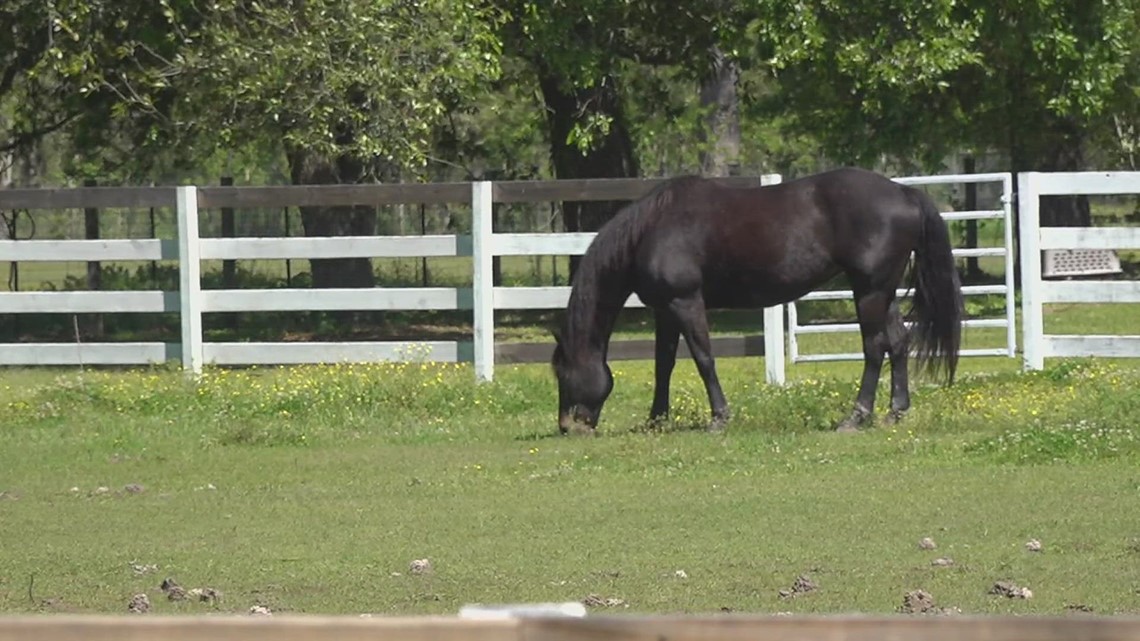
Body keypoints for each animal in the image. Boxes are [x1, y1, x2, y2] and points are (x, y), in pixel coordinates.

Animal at [551, 165, 962, 433]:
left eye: (561, 372)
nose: (568, 425)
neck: (651, 229)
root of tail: (904, 192)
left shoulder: (685, 302)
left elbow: (703, 358)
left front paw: (719, 418)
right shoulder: (665, 310)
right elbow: (663, 364)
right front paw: (656, 420)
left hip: (870, 291)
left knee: (875, 347)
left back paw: (856, 417)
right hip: (881, 291)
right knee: (899, 342)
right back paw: (895, 412)